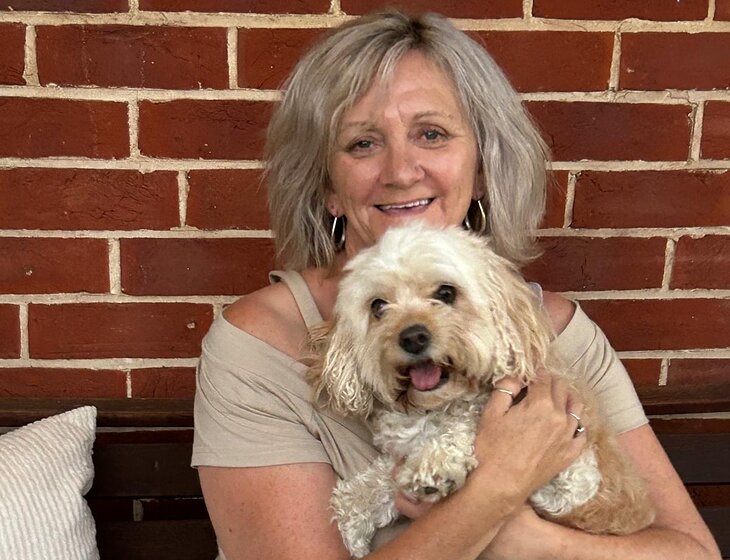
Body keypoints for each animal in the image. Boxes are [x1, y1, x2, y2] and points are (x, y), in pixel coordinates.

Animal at [309, 222, 654, 557]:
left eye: (446, 292)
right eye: (378, 306)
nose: (413, 337)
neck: (435, 407)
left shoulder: (574, 477)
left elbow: (467, 420)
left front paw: (436, 464)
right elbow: (379, 480)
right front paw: (353, 517)